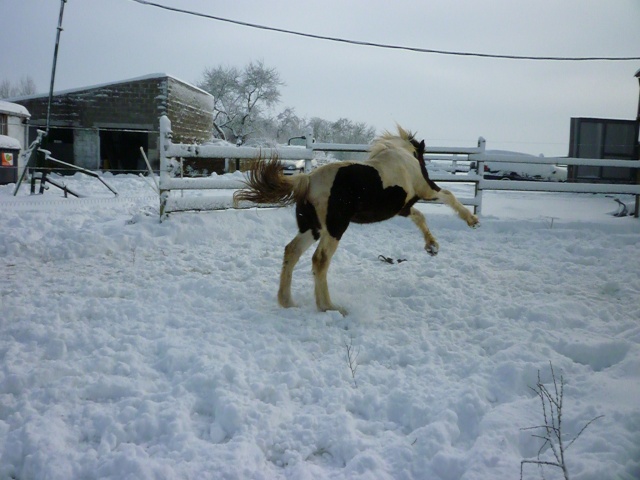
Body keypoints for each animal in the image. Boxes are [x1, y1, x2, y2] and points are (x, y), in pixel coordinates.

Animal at [232, 125, 478, 316]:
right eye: (422, 158)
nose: (426, 171)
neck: (403, 157)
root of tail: (308, 180)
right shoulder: (425, 190)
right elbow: (447, 195)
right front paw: (471, 220)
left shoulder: (403, 208)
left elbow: (420, 216)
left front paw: (432, 246)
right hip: (335, 228)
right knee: (319, 260)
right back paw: (329, 307)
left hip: (313, 228)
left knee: (291, 251)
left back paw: (287, 301)